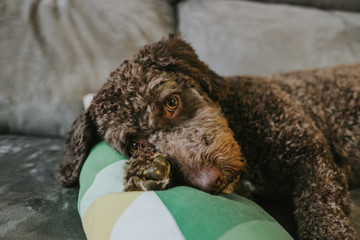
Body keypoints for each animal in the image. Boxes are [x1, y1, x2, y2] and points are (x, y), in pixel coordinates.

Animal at [59, 34, 360, 239]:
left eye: (171, 103)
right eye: (135, 144)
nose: (209, 182)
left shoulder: (312, 157)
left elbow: (321, 210)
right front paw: (147, 170)